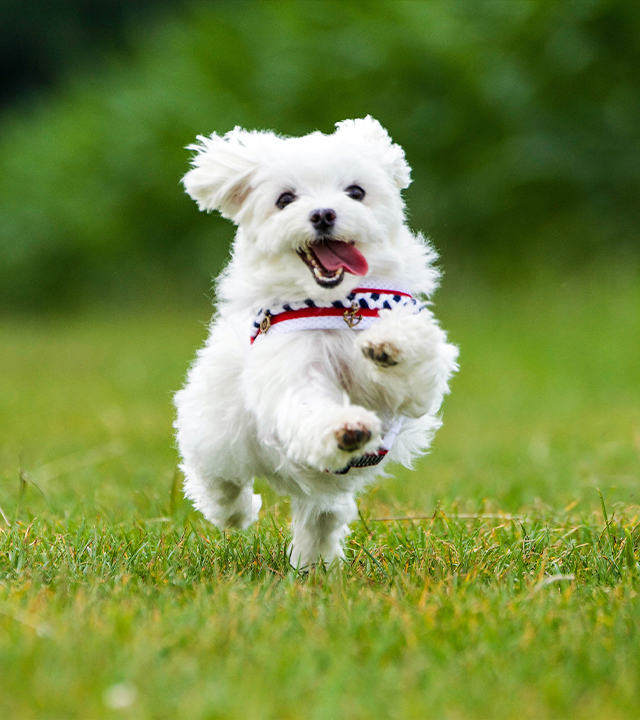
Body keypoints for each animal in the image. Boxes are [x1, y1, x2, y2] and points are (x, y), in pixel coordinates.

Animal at [172, 116, 458, 568]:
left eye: (356, 192)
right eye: (285, 199)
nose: (323, 214)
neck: (337, 306)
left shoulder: (410, 389)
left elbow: (415, 368)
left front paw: (389, 345)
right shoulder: (291, 374)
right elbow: (310, 405)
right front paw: (346, 428)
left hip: (319, 495)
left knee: (320, 515)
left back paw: (314, 564)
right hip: (218, 432)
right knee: (221, 484)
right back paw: (237, 512)